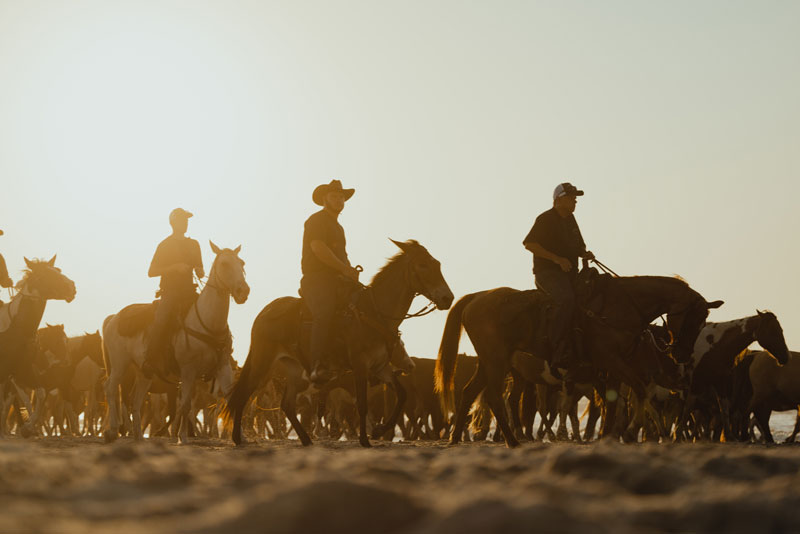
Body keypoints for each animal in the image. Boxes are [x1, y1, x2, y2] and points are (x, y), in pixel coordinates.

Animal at [102, 242, 249, 444]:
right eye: (224, 264)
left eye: (241, 263)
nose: (244, 291)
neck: (208, 323)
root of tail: (114, 317)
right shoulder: (188, 370)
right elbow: (185, 405)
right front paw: (182, 437)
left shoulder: (223, 366)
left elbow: (231, 398)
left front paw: (241, 436)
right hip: (119, 364)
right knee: (111, 389)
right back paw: (113, 430)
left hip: (144, 372)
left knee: (135, 400)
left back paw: (138, 435)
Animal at [225, 239, 453, 448]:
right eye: (422, 265)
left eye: (438, 264)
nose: (447, 298)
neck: (373, 312)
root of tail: (265, 312)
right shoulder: (360, 365)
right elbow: (362, 404)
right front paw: (365, 440)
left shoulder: (380, 367)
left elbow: (402, 394)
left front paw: (379, 430)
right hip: (262, 364)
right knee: (243, 396)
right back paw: (237, 438)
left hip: (294, 369)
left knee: (287, 404)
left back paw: (306, 439)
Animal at [435, 275, 723, 447]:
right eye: (696, 319)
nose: (682, 355)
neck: (620, 307)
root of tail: (476, 297)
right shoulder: (609, 360)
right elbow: (637, 393)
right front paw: (629, 431)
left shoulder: (610, 370)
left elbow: (613, 403)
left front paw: (609, 435)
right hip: (496, 361)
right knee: (496, 397)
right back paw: (512, 440)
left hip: (491, 361)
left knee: (470, 392)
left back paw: (455, 439)